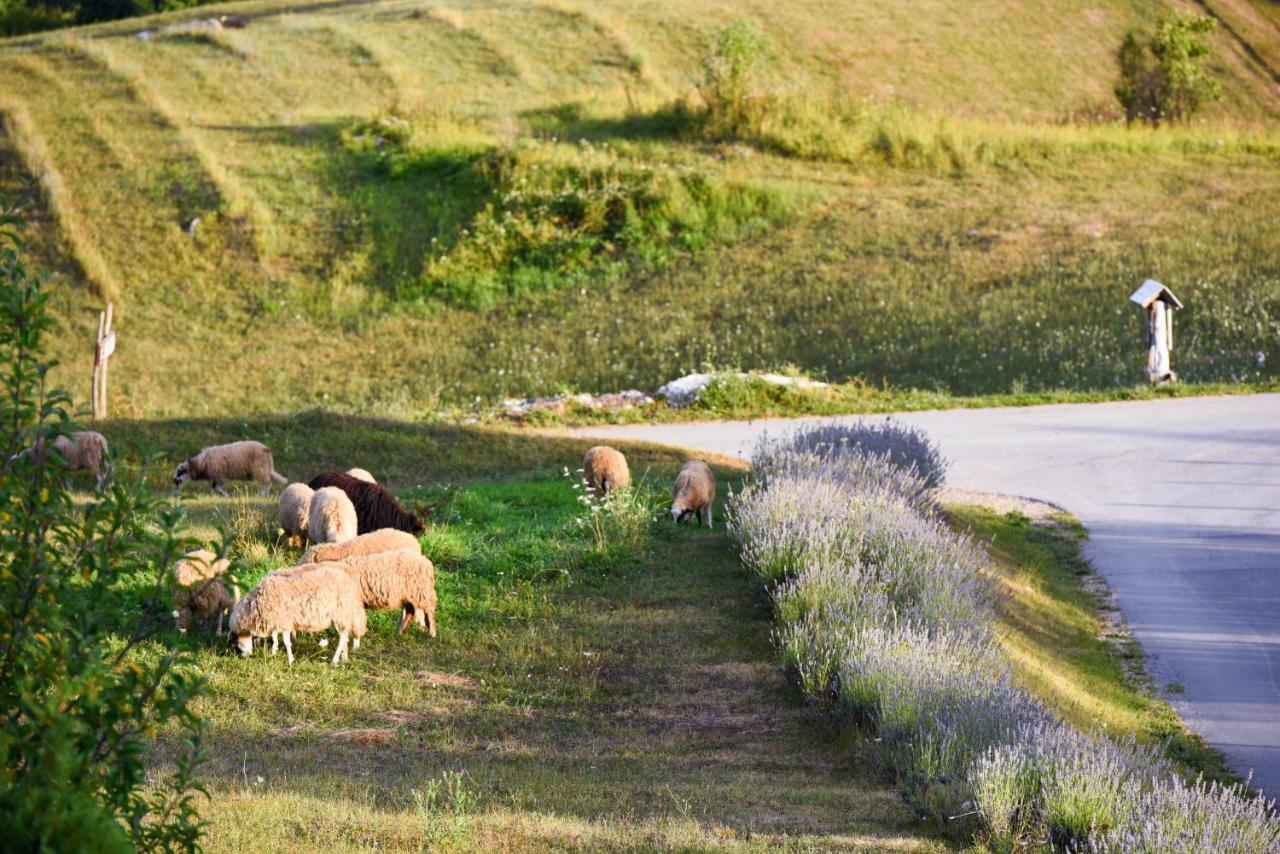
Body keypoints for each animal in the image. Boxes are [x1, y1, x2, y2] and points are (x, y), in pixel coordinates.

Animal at [229, 563, 366, 665]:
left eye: (236, 644)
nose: (245, 657)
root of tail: (350, 583)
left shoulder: (284, 621)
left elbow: (284, 641)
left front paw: (290, 659)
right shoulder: (278, 621)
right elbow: (275, 638)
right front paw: (274, 653)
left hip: (340, 614)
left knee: (343, 637)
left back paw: (335, 659)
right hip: (343, 615)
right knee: (345, 636)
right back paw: (344, 658)